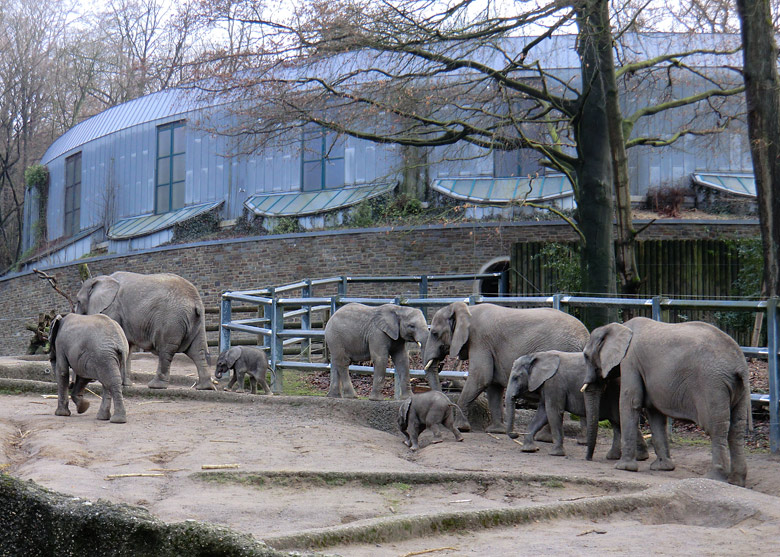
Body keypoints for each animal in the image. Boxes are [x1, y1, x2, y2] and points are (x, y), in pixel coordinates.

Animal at [75, 272, 215, 388]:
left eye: (78, 301)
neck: (100, 279)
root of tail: (195, 301)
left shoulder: (112, 309)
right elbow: (126, 345)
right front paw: (125, 384)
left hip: (171, 320)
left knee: (166, 350)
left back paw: (155, 386)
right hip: (196, 321)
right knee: (198, 350)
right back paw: (205, 387)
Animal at [424, 302, 588, 432]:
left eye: (434, 333)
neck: (467, 309)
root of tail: (585, 337)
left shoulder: (479, 340)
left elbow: (481, 377)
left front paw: (462, 428)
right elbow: (493, 384)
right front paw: (497, 431)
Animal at [506, 350, 644, 458]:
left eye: (516, 377)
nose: (516, 434)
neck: (536, 356)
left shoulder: (554, 383)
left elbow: (553, 411)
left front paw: (555, 454)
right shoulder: (547, 385)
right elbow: (543, 413)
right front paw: (529, 450)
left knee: (619, 420)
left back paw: (637, 457)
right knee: (617, 422)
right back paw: (623, 457)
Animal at [580, 318, 752, 486]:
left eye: (586, 356)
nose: (589, 459)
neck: (619, 327)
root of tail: (739, 363)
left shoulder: (630, 361)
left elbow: (631, 402)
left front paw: (623, 467)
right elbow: (655, 413)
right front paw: (662, 468)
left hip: (712, 385)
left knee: (715, 428)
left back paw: (713, 478)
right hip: (739, 388)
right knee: (736, 429)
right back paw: (737, 481)